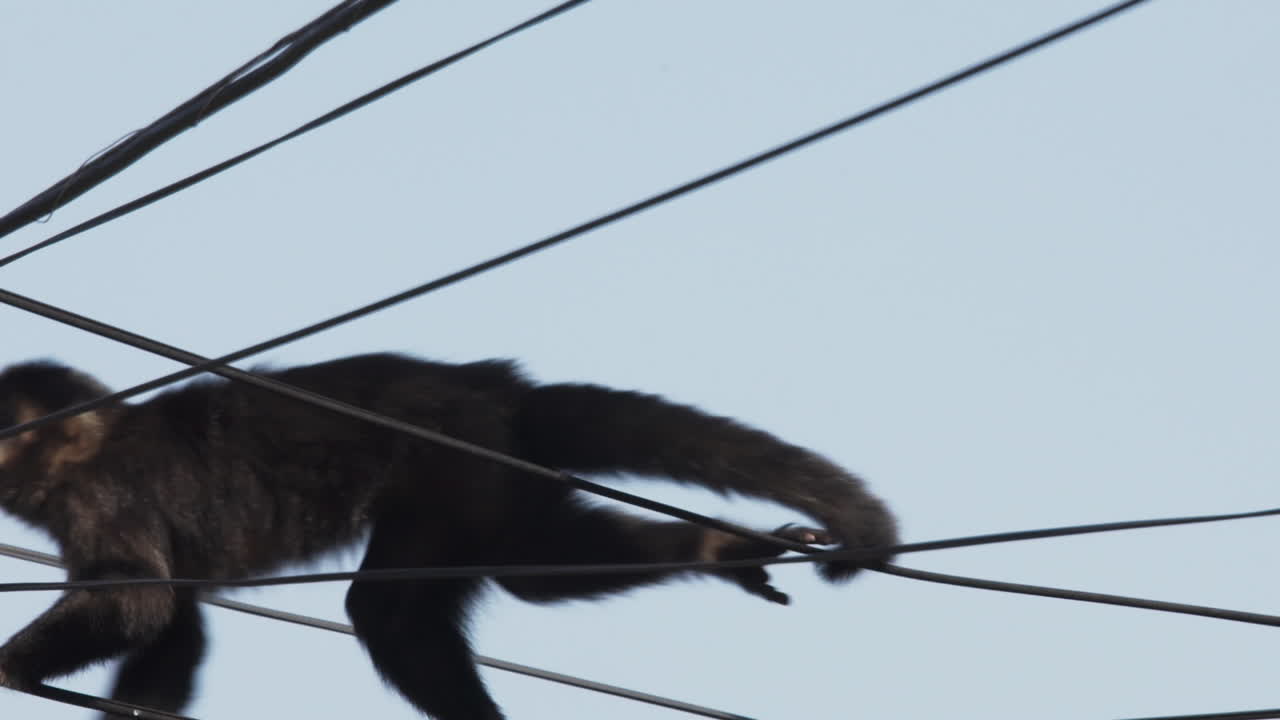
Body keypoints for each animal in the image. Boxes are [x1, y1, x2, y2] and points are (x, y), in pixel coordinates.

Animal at [0, 353, 897, 719]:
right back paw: (716, 553)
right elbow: (173, 630)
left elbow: (137, 602)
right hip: (500, 476)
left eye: (7, 428)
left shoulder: (104, 494)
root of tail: (495, 389)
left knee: (390, 610)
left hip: (450, 463)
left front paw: (6, 667)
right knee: (534, 569)